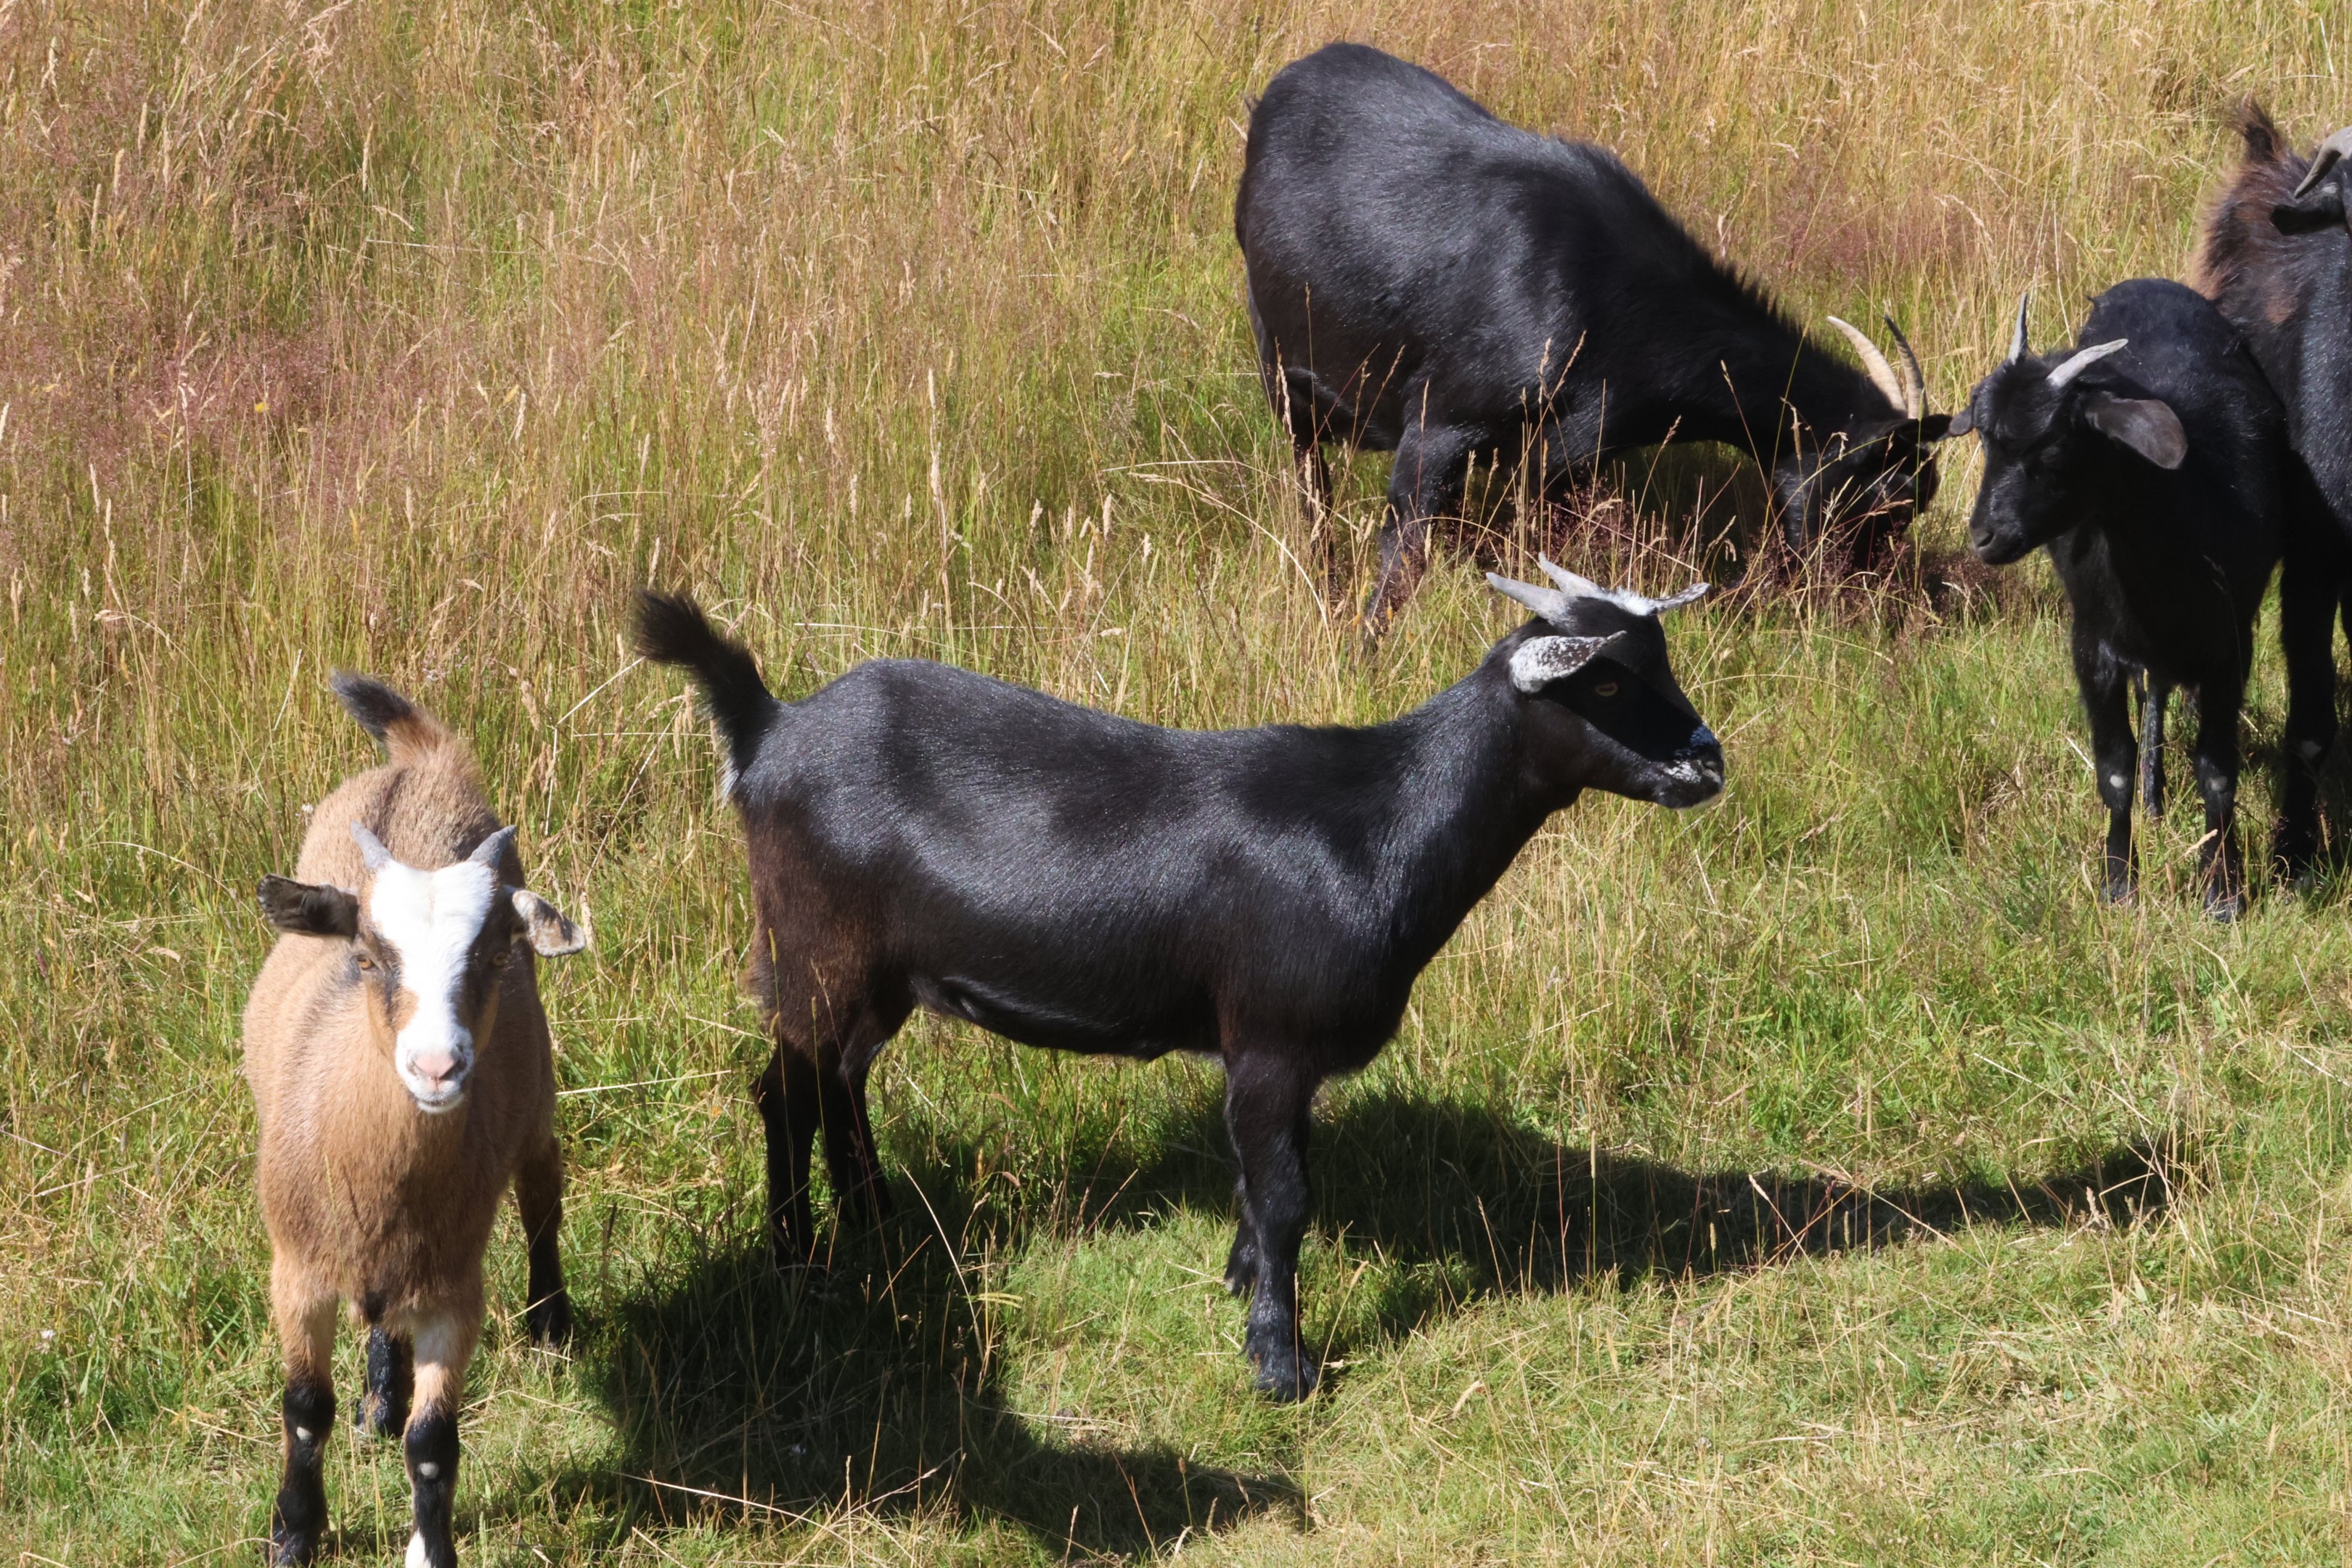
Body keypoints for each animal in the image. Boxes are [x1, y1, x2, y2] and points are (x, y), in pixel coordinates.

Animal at [243, 676, 586, 1567]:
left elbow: (434, 1446)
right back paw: (378, 1398)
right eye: (366, 957)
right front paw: (294, 1531)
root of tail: (425, 763)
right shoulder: (297, 1269)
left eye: (497, 954)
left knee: (543, 1196)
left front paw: (430, 1549)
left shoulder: (454, 1290)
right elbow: (304, 1410)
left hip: (537, 1100)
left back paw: (551, 1322)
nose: (437, 1068)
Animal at [637, 574, 1722, 1400]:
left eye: (1663, 661)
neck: (1378, 819)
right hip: (815, 948)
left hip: (875, 973)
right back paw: (798, 1262)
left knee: (840, 1078)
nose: (1708, 764)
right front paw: (1279, 1364)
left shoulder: (1266, 1054)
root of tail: (768, 730)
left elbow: (1257, 1177)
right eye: (1606, 682)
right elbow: (1286, 1195)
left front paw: (1239, 1282)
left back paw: (877, 1221)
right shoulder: (1275, 1037)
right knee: (783, 1091)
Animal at [1235, 42, 1952, 635]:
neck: (1598, 292)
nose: (1853, 604)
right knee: (1312, 488)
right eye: (1887, 499)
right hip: (1282, 365)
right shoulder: (1440, 424)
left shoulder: (1562, 463)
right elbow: (1402, 563)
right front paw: (1366, 656)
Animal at [1947, 281, 2285, 917]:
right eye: (1984, 440)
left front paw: (2223, 888)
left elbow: (2217, 771)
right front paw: (2119, 881)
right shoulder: (2092, 644)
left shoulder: (2230, 647)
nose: (1984, 537)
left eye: (2054, 450)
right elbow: (2114, 770)